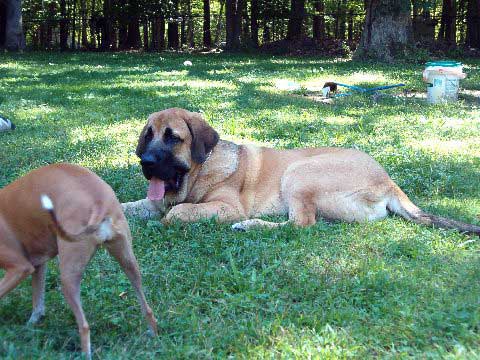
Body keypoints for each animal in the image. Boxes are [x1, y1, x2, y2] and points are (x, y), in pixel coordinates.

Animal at [0, 164, 158, 360]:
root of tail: (99, 202)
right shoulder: (38, 265)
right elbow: (38, 303)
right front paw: (29, 327)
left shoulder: (20, 268)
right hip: (128, 260)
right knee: (147, 307)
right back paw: (154, 336)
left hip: (68, 276)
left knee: (84, 326)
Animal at [123, 107, 480, 236]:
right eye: (148, 136)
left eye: (173, 138)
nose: (147, 162)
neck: (200, 170)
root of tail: (388, 180)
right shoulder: (153, 201)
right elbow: (127, 206)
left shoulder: (226, 206)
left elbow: (179, 212)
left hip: (299, 171)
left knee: (301, 223)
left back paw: (250, 225)